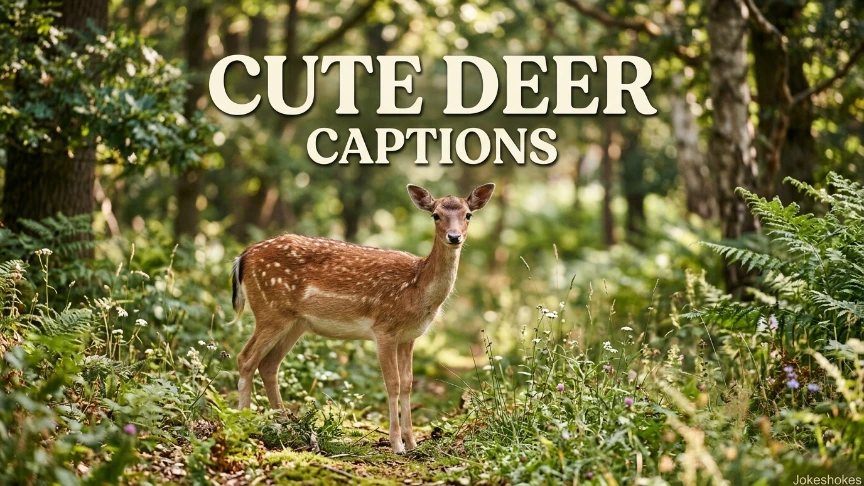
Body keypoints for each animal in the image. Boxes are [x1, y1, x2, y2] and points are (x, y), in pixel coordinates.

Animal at [229, 183, 495, 454]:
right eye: (436, 215)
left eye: (468, 215)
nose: (454, 237)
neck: (418, 288)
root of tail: (243, 256)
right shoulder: (384, 328)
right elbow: (393, 383)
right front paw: (397, 444)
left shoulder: (409, 337)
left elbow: (408, 383)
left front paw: (412, 443)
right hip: (270, 311)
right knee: (246, 358)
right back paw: (245, 422)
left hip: (295, 323)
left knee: (268, 364)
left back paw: (287, 427)